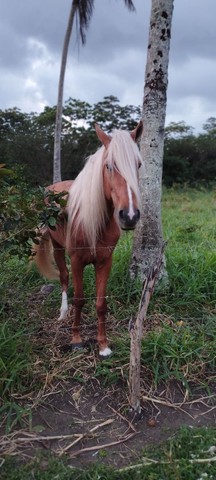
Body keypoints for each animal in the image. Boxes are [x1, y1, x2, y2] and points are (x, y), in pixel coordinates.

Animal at [33, 122, 143, 358]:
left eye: (138, 165)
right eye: (109, 166)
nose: (129, 216)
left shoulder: (104, 261)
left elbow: (101, 304)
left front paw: (103, 346)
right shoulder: (77, 261)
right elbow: (80, 299)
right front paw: (76, 340)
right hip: (58, 248)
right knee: (64, 279)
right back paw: (63, 313)